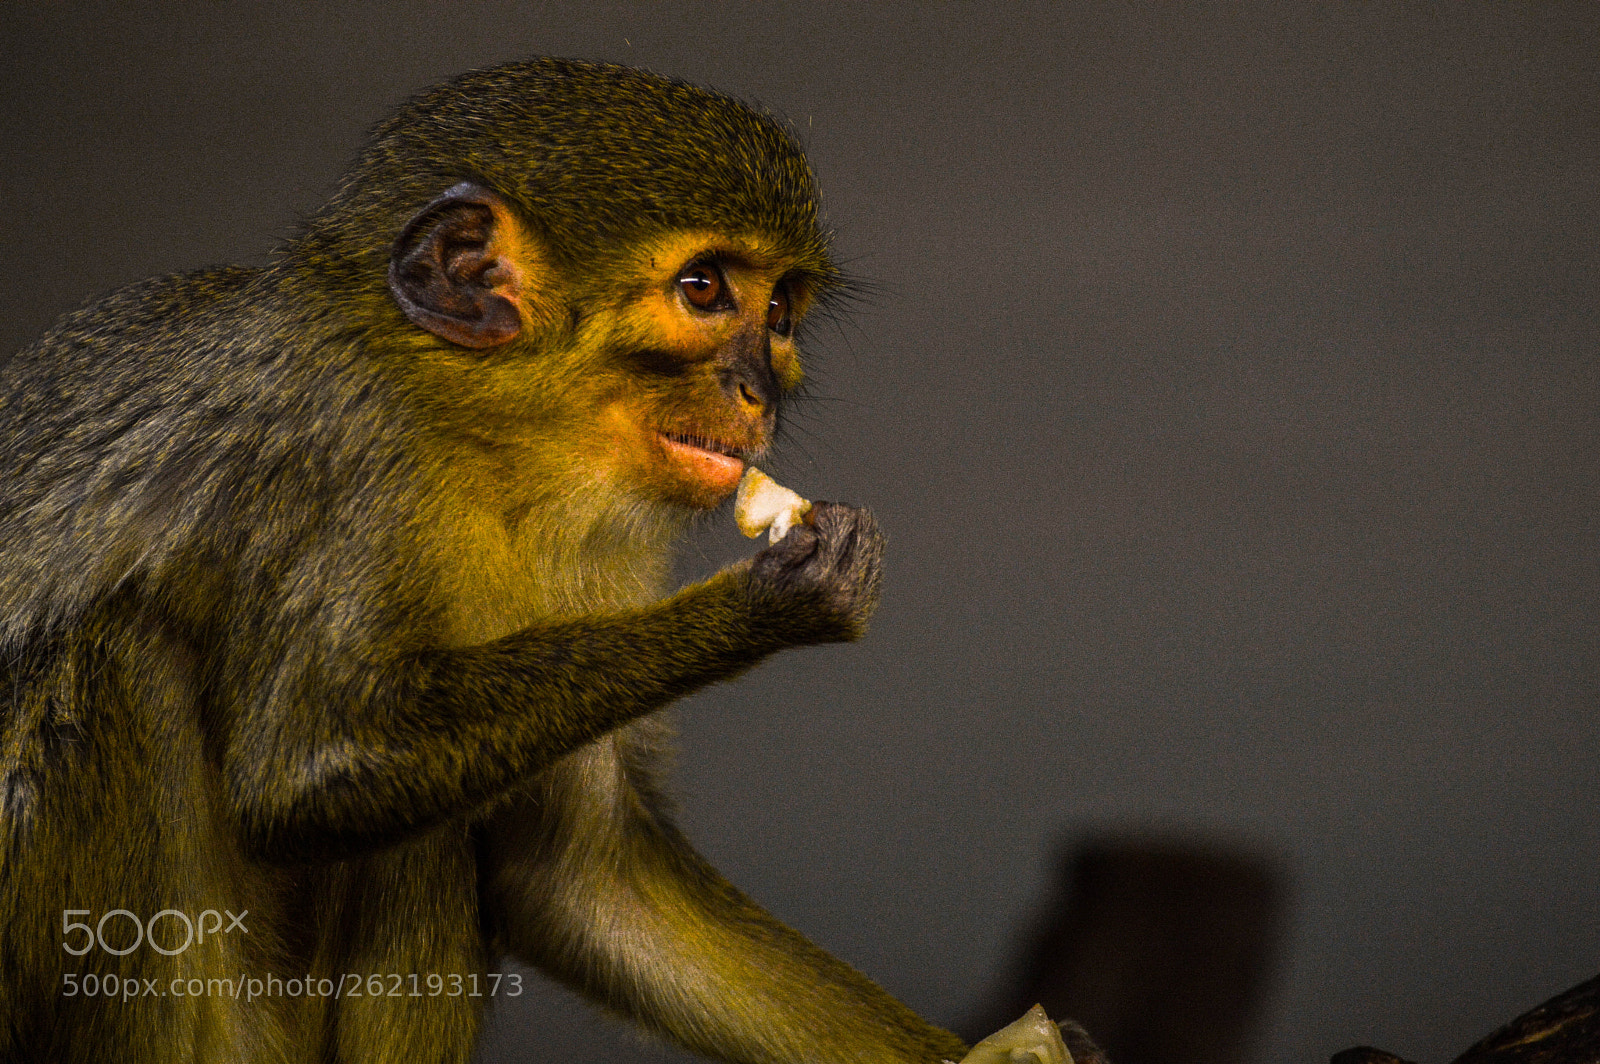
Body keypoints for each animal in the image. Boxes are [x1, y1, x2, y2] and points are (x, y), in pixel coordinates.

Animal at [0, 57, 972, 1064]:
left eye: (778, 311)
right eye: (705, 290)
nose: (760, 391)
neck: (483, 429)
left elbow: (584, 881)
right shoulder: (359, 443)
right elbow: (300, 771)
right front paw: (771, 599)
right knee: (121, 654)